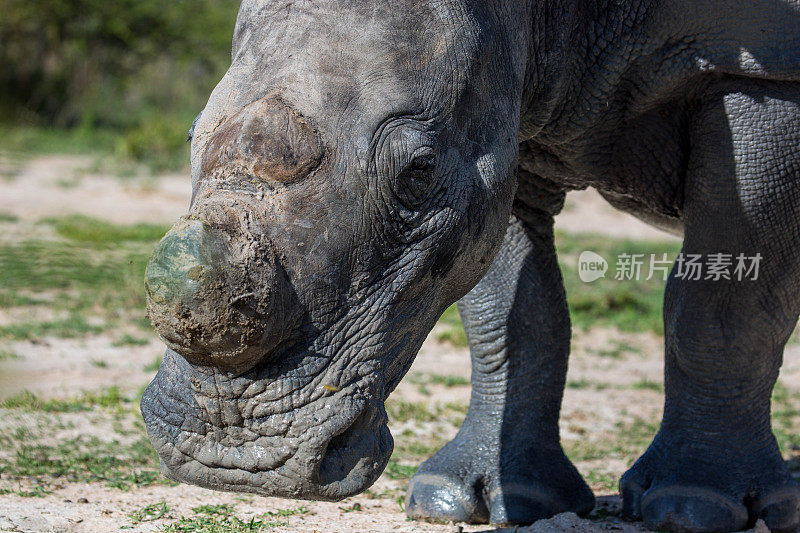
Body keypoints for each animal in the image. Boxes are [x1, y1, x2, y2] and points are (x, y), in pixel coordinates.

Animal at [141, 2, 800, 528]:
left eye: (419, 171)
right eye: (192, 134)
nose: (235, 460)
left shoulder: (765, 70)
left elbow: (720, 312)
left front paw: (696, 506)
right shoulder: (506, 120)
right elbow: (511, 312)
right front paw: (474, 500)